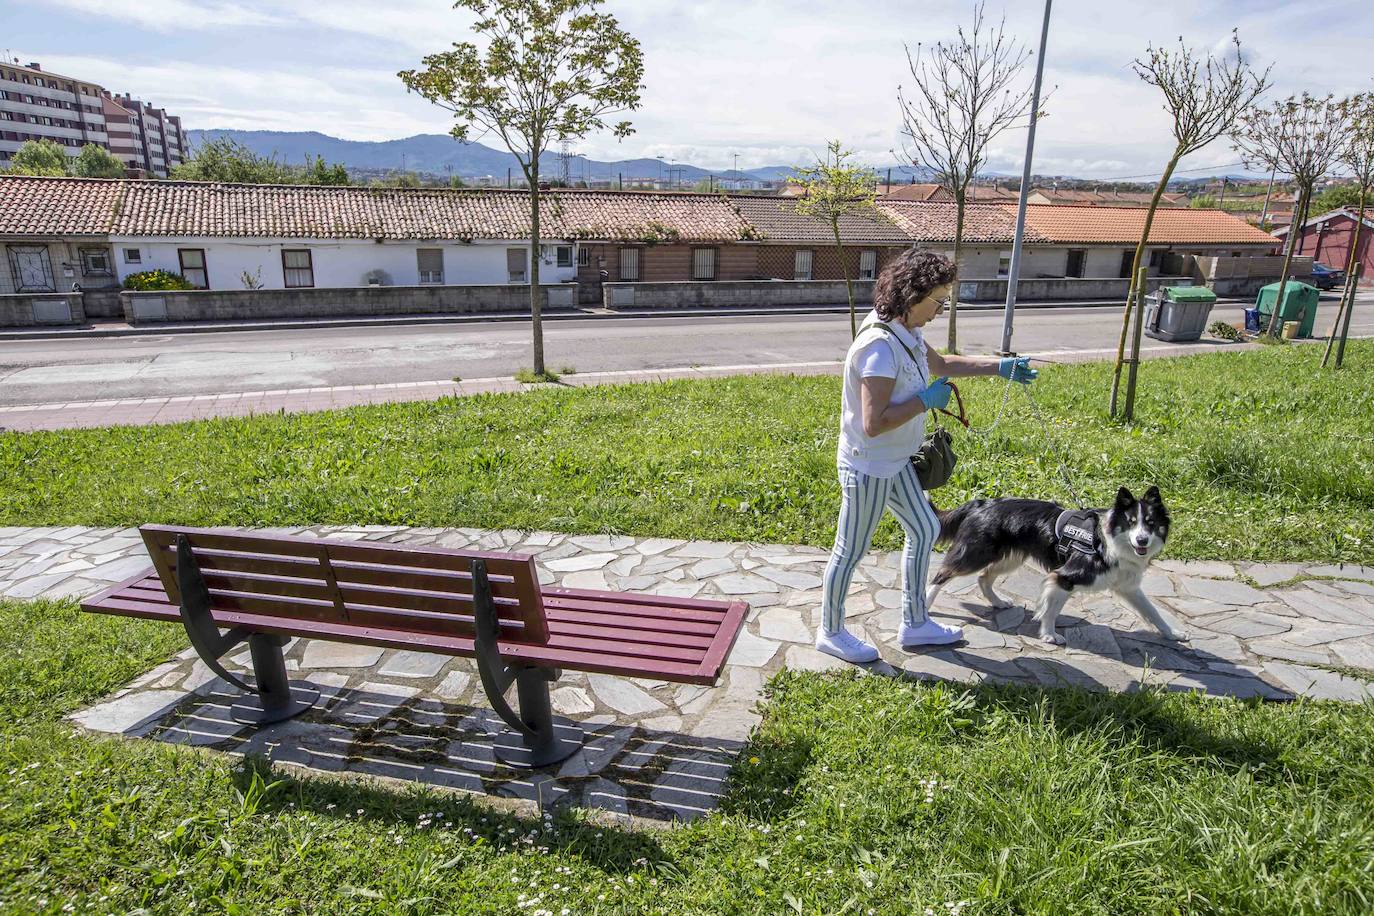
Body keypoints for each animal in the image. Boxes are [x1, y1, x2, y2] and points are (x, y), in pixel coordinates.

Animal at [928, 486, 1187, 645]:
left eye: (1150, 523)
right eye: (1131, 522)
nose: (1142, 540)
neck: (1107, 541)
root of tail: (980, 503)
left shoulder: (1127, 586)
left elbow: (1152, 611)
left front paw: (1172, 633)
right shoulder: (1064, 577)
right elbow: (1051, 610)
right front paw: (1050, 636)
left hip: (1010, 558)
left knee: (984, 577)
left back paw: (998, 602)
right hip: (975, 554)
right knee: (942, 574)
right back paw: (927, 604)